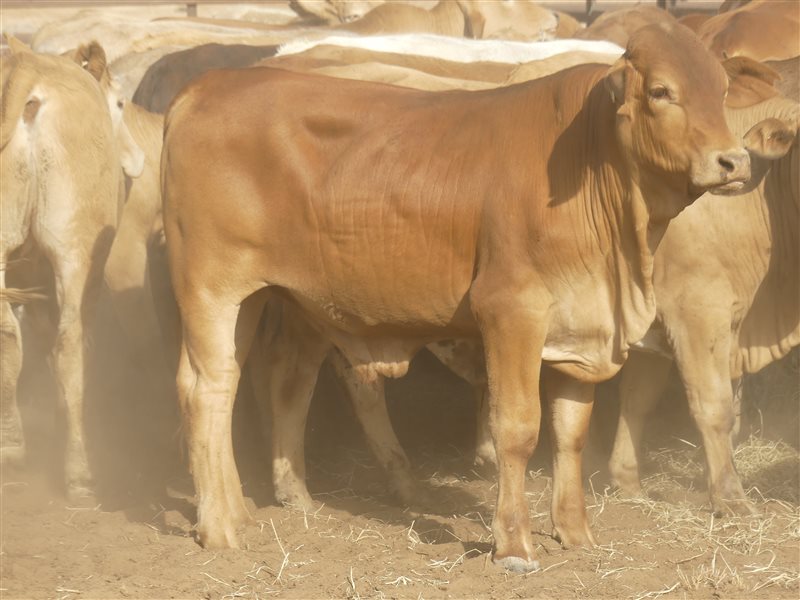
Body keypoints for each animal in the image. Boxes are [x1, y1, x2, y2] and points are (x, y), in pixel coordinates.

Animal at [0, 41, 144, 496]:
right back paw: (80, 469)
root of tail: (27, 73)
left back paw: (11, 445)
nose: (139, 160)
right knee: (70, 342)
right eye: (120, 102)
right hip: (76, 249)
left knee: (8, 333)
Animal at [164, 22, 756, 572]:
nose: (734, 162)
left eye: (723, 89)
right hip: (209, 289)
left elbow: (570, 432)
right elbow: (517, 428)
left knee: (241, 381)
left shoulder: (582, 328)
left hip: (254, 299)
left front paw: (575, 533)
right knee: (205, 390)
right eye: (661, 90)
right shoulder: (510, 309)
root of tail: (205, 87)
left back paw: (241, 510)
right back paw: (219, 529)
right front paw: (514, 545)